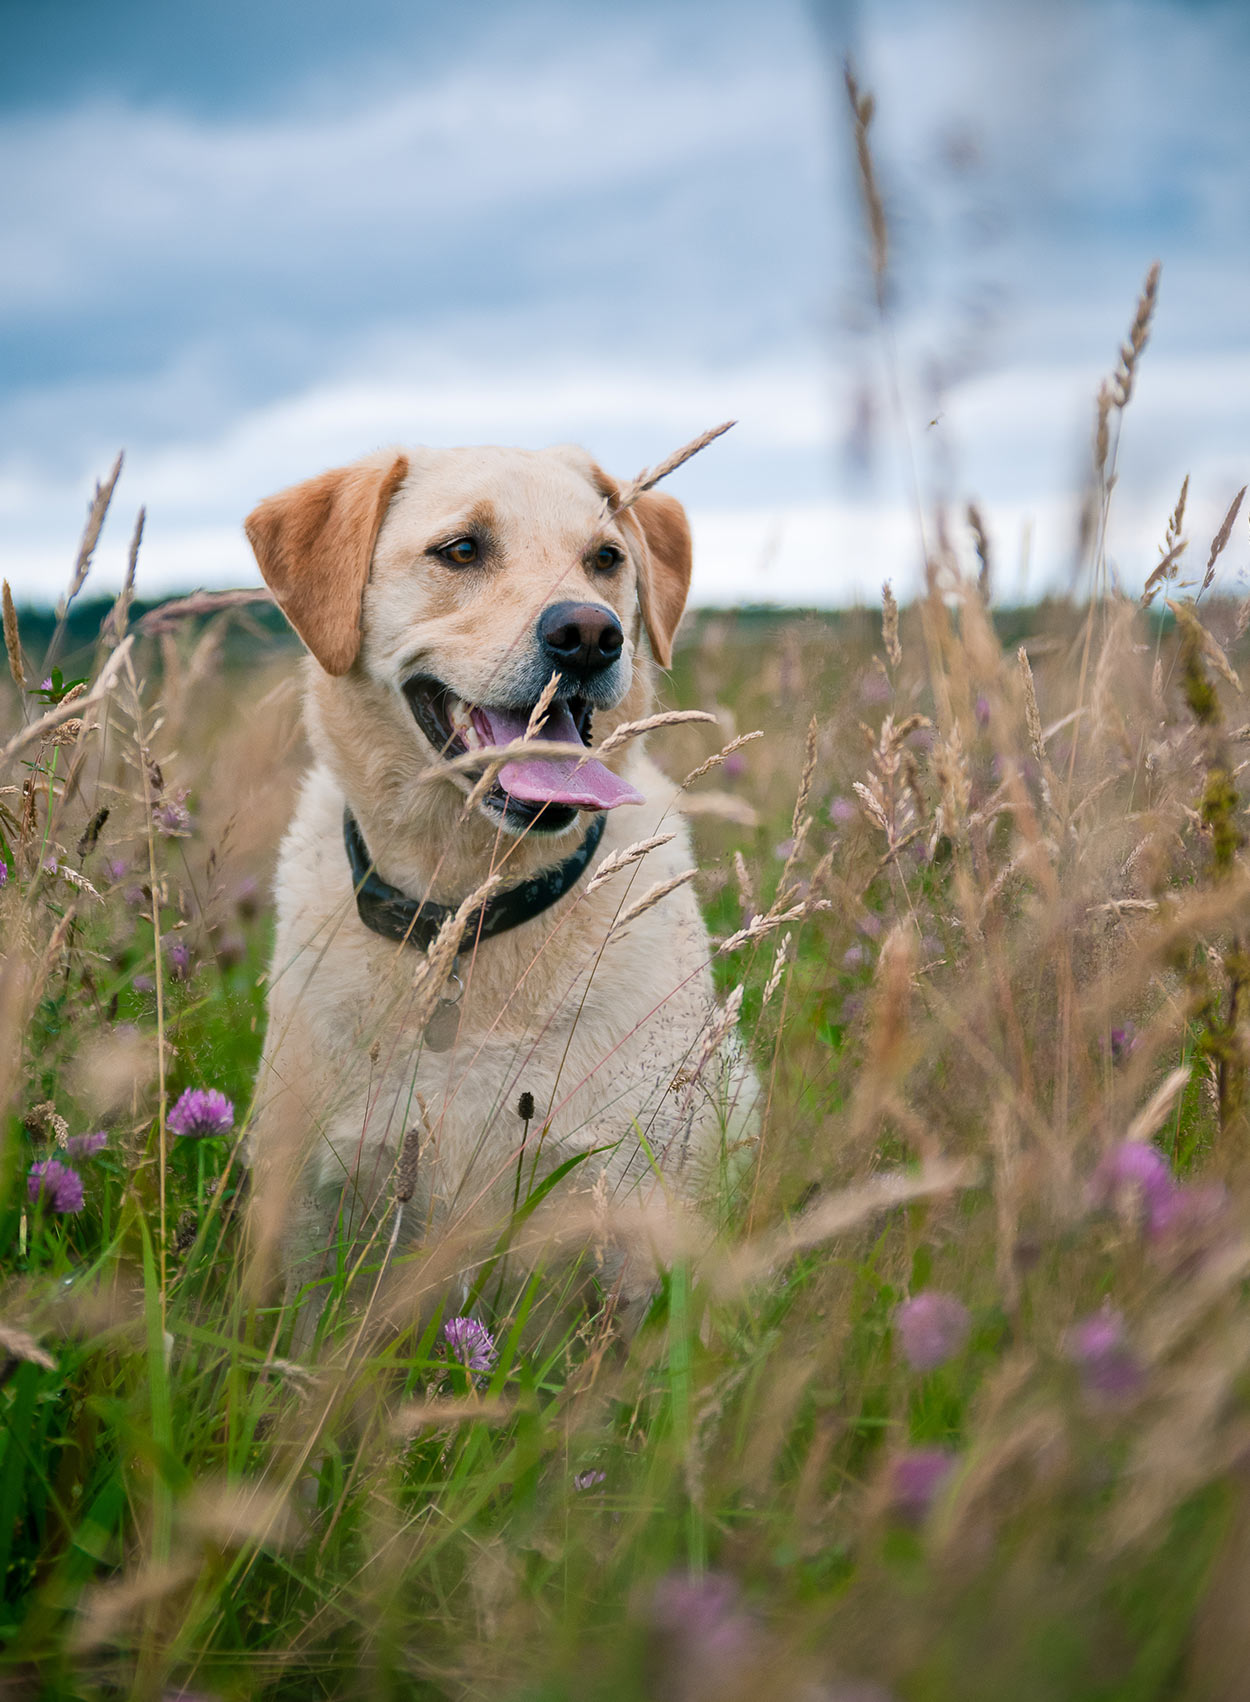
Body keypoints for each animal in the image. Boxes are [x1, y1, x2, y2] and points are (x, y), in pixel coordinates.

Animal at [241, 442, 759, 1341]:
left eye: (606, 559)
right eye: (461, 550)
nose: (589, 634)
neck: (467, 912)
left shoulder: (630, 1214)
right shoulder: (309, 1205)